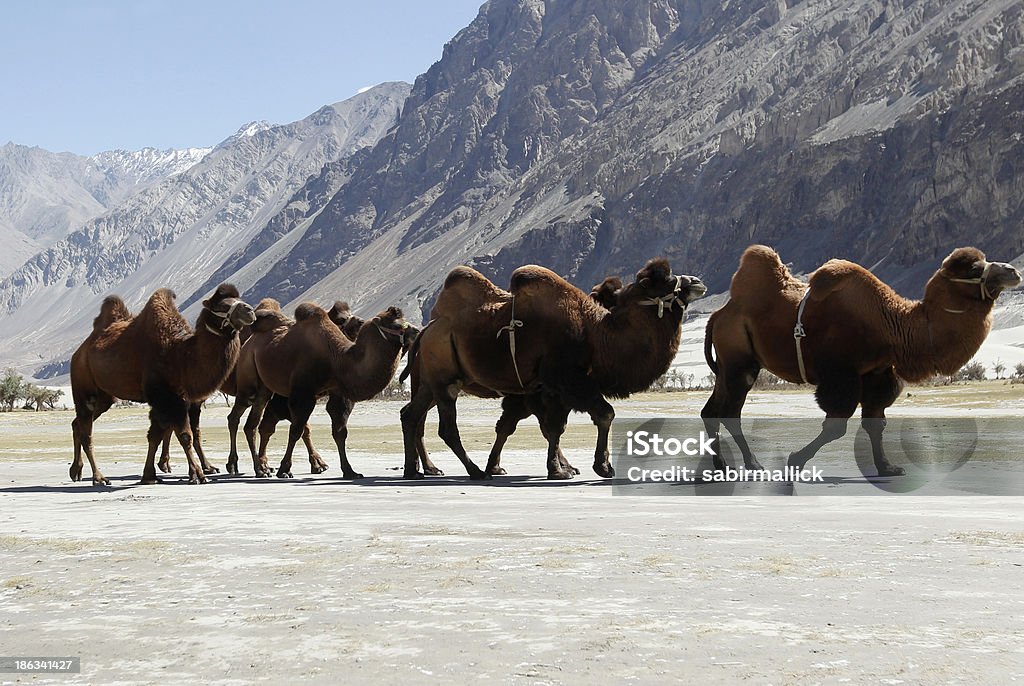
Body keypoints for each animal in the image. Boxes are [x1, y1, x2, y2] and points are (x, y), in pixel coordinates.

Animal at [69, 284, 254, 489]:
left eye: (239, 299)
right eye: (222, 306)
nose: (249, 310)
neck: (181, 355)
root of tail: (79, 352)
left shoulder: (169, 399)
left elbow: (155, 436)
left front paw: (150, 475)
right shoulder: (166, 396)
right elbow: (185, 435)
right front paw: (197, 475)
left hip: (105, 397)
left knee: (77, 424)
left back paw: (76, 472)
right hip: (84, 387)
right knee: (86, 432)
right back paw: (99, 477)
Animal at [232, 303, 415, 481]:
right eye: (397, 325)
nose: (416, 331)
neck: (337, 359)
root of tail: (250, 342)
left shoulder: (339, 394)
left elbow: (340, 432)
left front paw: (350, 471)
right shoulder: (303, 393)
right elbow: (296, 430)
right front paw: (284, 470)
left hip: (265, 388)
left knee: (253, 424)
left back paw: (261, 468)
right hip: (248, 380)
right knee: (239, 416)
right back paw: (247, 468)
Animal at [397, 261, 704, 481]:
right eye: (663, 280)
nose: (697, 281)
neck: (597, 335)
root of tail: (426, 331)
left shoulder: (549, 390)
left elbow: (547, 427)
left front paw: (563, 467)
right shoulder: (566, 382)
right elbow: (598, 416)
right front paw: (590, 468)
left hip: (431, 383)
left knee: (411, 415)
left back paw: (415, 470)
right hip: (445, 380)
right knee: (444, 427)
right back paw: (473, 471)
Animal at [700, 247, 1019, 479]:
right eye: (975, 268)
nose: (1013, 271)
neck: (892, 327)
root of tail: (720, 314)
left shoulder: (876, 373)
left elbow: (876, 423)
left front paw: (888, 467)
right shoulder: (842, 375)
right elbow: (836, 426)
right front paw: (795, 461)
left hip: (728, 366)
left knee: (712, 410)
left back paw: (723, 466)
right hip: (741, 362)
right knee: (730, 410)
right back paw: (753, 464)